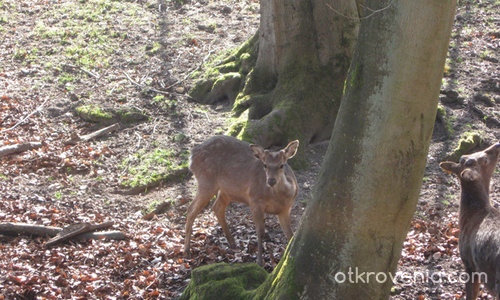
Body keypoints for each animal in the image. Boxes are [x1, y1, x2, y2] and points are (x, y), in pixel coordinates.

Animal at [185, 136, 298, 264]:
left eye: (282, 165)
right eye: (265, 165)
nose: (271, 181)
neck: (278, 199)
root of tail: (192, 155)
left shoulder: (286, 209)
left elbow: (290, 234)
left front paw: (287, 257)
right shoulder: (254, 201)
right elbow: (260, 232)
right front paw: (259, 262)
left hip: (226, 190)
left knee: (217, 207)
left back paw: (232, 243)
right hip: (206, 182)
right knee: (191, 210)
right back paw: (186, 250)